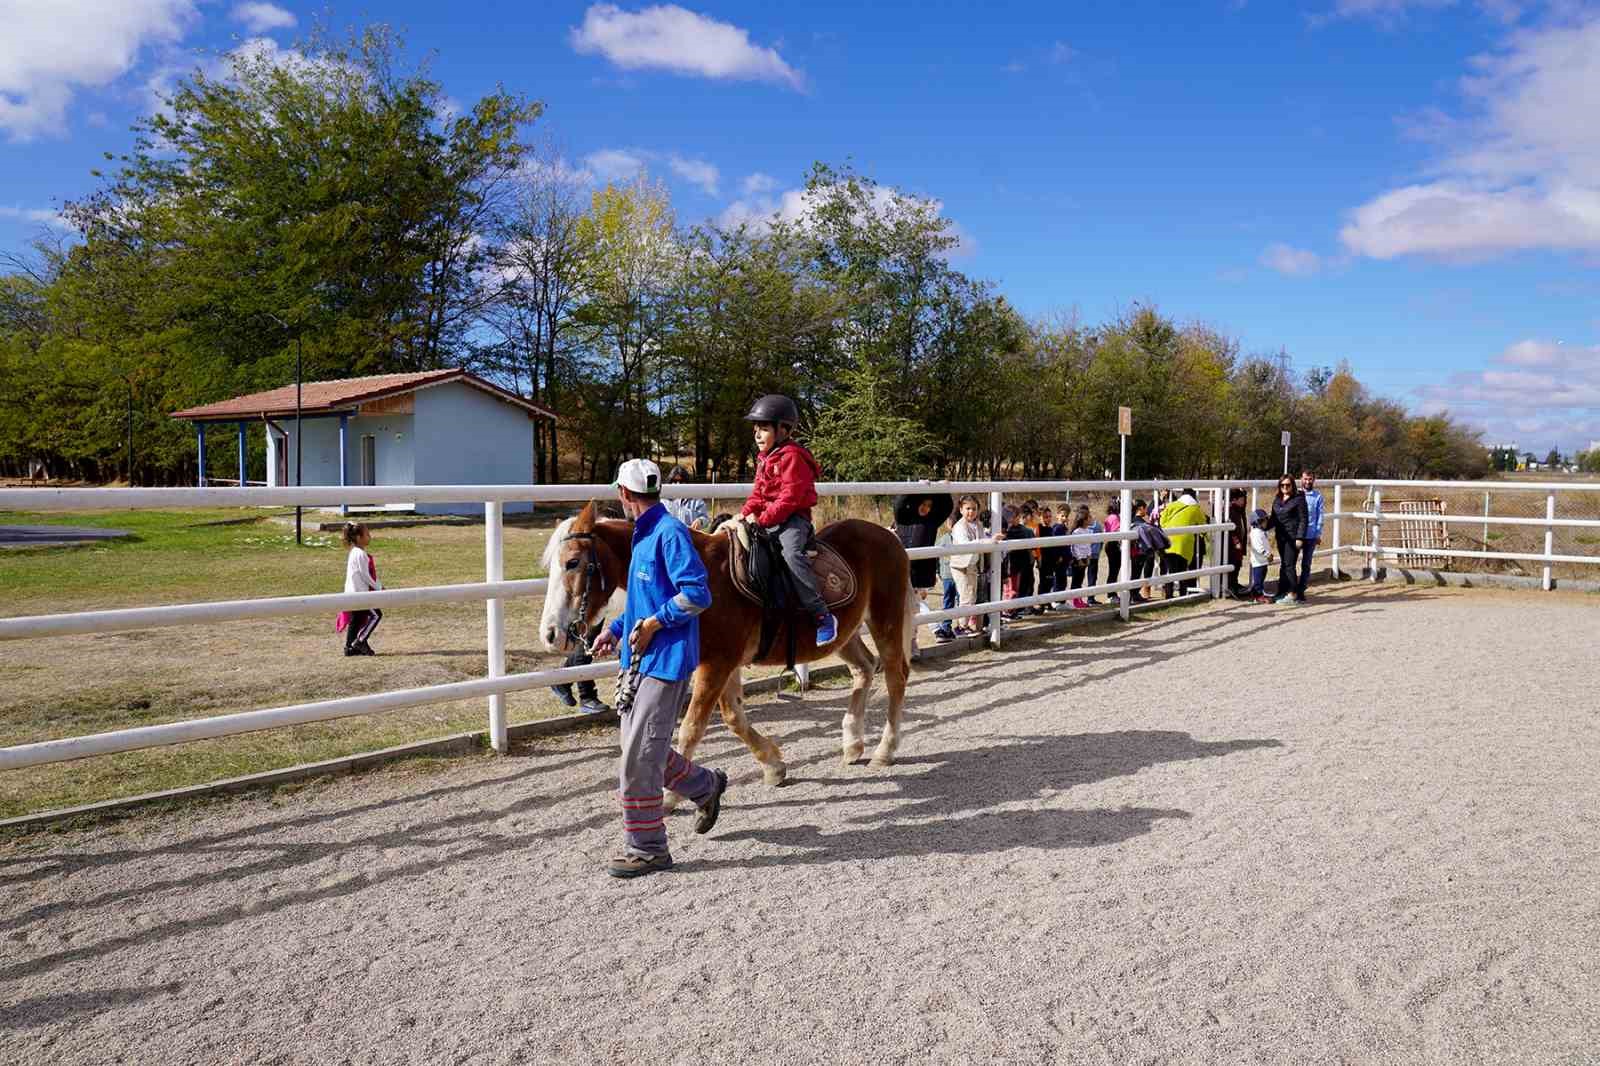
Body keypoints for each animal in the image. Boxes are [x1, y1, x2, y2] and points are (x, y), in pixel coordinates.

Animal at [537, 499, 915, 787]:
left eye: (572, 562)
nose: (551, 634)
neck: (704, 577)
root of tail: (888, 537)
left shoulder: (716, 663)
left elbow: (692, 726)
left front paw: (672, 796)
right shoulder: (725, 663)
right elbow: (734, 717)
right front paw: (773, 766)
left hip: (885, 620)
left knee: (895, 677)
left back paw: (885, 750)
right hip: (845, 634)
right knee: (864, 669)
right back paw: (853, 744)